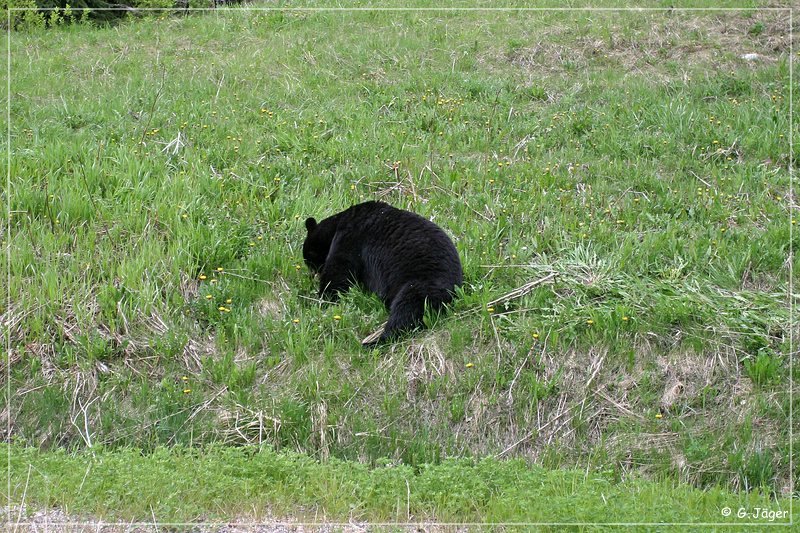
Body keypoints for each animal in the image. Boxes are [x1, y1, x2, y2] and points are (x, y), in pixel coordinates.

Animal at [304, 201, 462, 344]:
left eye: (309, 259)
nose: (312, 274)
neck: (338, 223)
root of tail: (453, 292)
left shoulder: (350, 236)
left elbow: (339, 269)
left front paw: (321, 299)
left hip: (422, 283)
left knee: (407, 309)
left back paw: (374, 341)